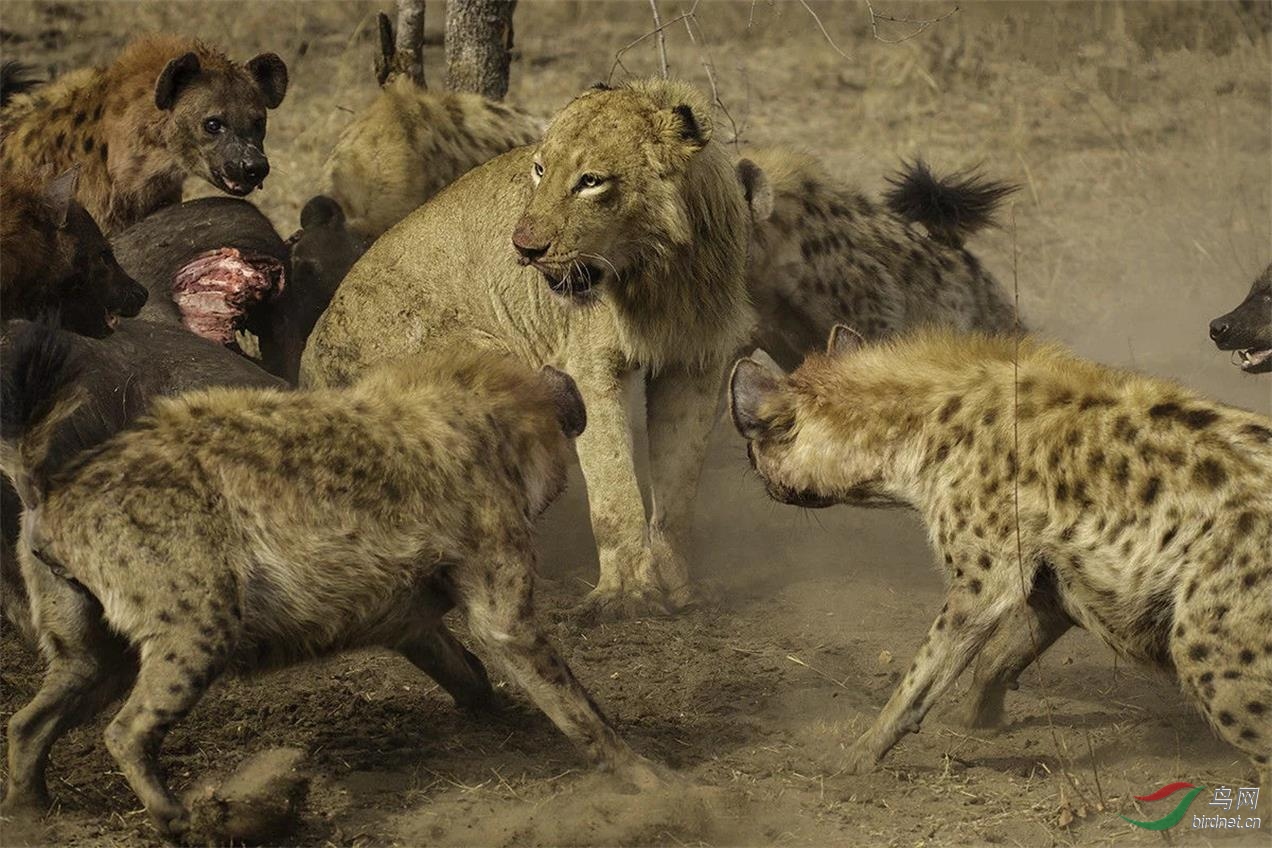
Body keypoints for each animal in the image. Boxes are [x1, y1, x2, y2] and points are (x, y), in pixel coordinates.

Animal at [301, 79, 747, 620]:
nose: (525, 248)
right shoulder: (589, 366)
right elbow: (614, 487)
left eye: (591, 181)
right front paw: (626, 595)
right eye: (539, 169)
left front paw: (682, 588)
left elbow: (678, 488)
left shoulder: (697, 361)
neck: (661, 273)